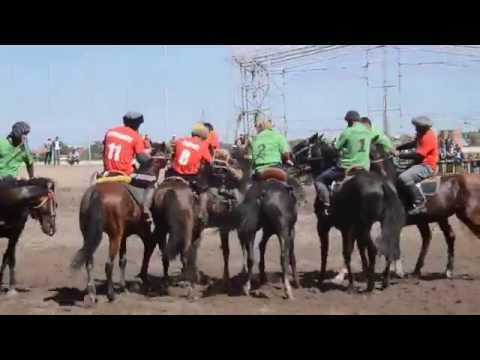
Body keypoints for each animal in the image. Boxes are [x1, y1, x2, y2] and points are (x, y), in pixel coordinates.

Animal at [70, 142, 169, 306]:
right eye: (166, 152)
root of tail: (96, 194)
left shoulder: (124, 236)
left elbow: (123, 260)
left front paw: (124, 286)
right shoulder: (143, 232)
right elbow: (148, 248)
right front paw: (143, 278)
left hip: (89, 234)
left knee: (89, 261)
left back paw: (91, 293)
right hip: (114, 235)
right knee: (108, 264)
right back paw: (110, 294)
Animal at [290, 135, 406, 292]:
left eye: (303, 145)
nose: (290, 157)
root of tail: (383, 184)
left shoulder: (326, 225)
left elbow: (330, 252)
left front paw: (324, 281)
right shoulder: (351, 229)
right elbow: (356, 251)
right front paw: (360, 275)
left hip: (365, 226)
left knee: (373, 249)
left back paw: (370, 285)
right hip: (382, 224)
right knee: (389, 245)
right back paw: (384, 281)